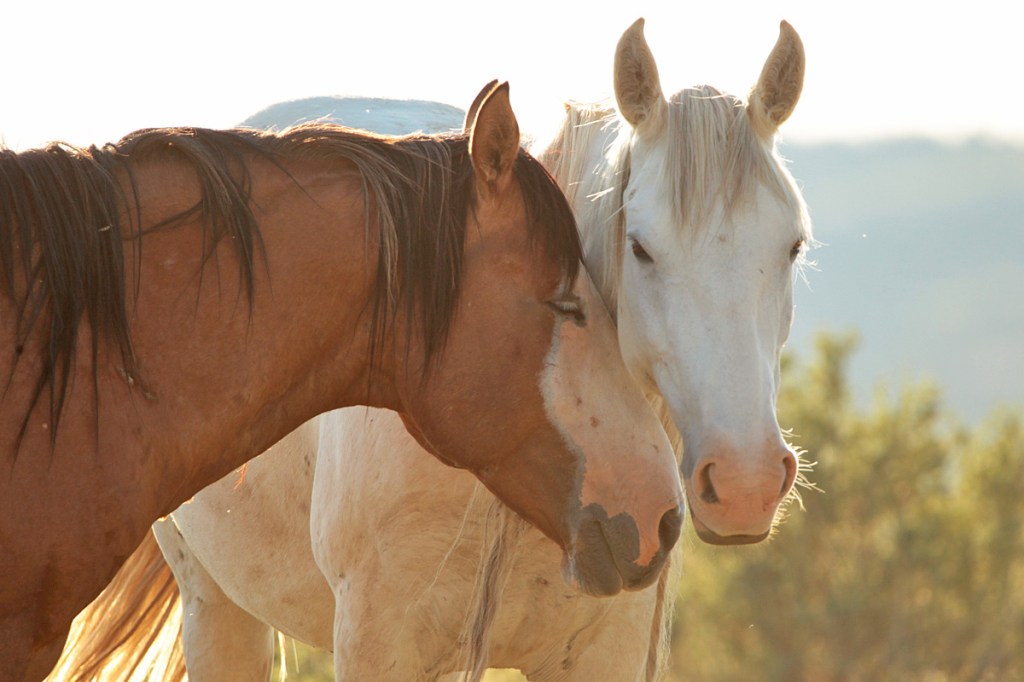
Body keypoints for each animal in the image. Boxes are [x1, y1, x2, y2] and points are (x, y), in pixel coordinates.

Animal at [52, 18, 813, 681]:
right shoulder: (379, 643)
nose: (744, 484)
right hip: (216, 606)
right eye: (642, 248)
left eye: (794, 245)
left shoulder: (606, 651)